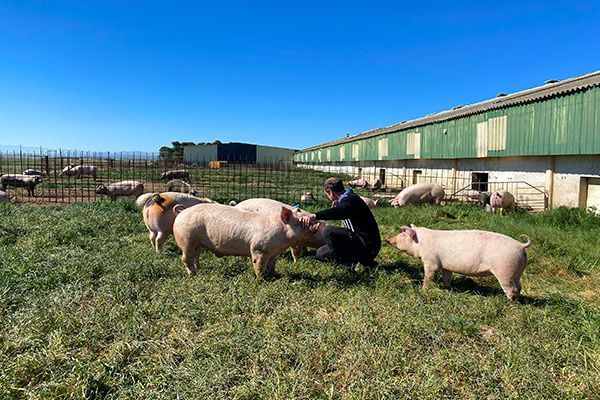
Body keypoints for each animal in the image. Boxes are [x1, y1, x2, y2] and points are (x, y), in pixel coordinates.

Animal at [172, 203, 322, 278]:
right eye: (301, 221)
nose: (317, 222)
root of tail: (181, 213)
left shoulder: (274, 252)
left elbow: (272, 265)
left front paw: (273, 275)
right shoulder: (259, 249)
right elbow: (259, 265)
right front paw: (261, 280)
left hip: (197, 243)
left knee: (195, 256)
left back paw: (199, 268)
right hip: (186, 239)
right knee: (186, 258)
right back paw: (193, 275)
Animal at [386, 225, 532, 300]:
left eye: (403, 235)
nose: (388, 239)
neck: (421, 243)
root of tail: (521, 246)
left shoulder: (431, 261)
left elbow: (429, 276)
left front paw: (423, 290)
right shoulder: (446, 266)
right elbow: (447, 277)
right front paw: (448, 288)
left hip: (505, 271)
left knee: (511, 289)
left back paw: (510, 302)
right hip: (516, 273)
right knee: (519, 286)